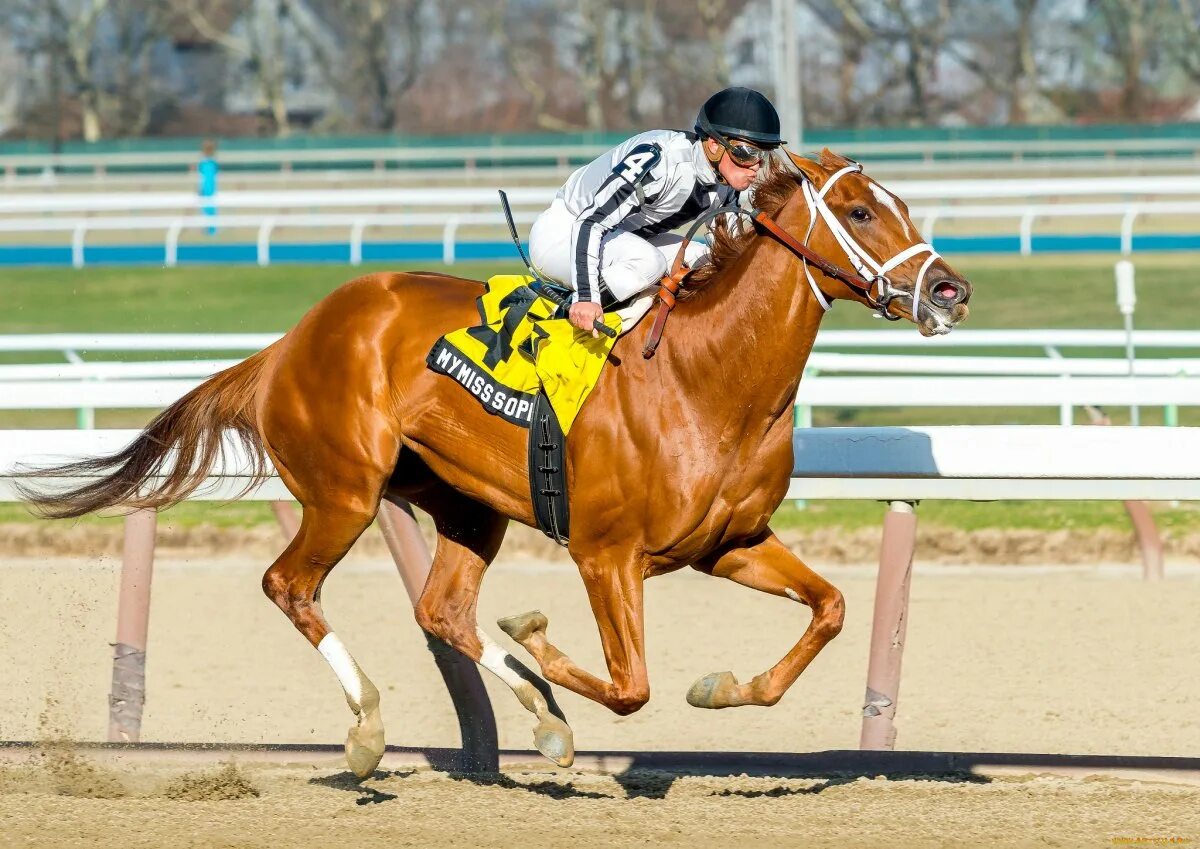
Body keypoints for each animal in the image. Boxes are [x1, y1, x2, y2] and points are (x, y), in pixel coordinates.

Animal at [23, 147, 969, 777]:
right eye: (860, 213)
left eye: (898, 204)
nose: (949, 290)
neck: (707, 378)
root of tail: (290, 340)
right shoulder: (604, 553)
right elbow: (628, 685)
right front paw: (540, 645)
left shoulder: (728, 543)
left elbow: (831, 609)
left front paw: (718, 687)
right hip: (345, 491)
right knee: (290, 585)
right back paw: (371, 727)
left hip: (467, 505)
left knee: (441, 610)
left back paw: (530, 712)